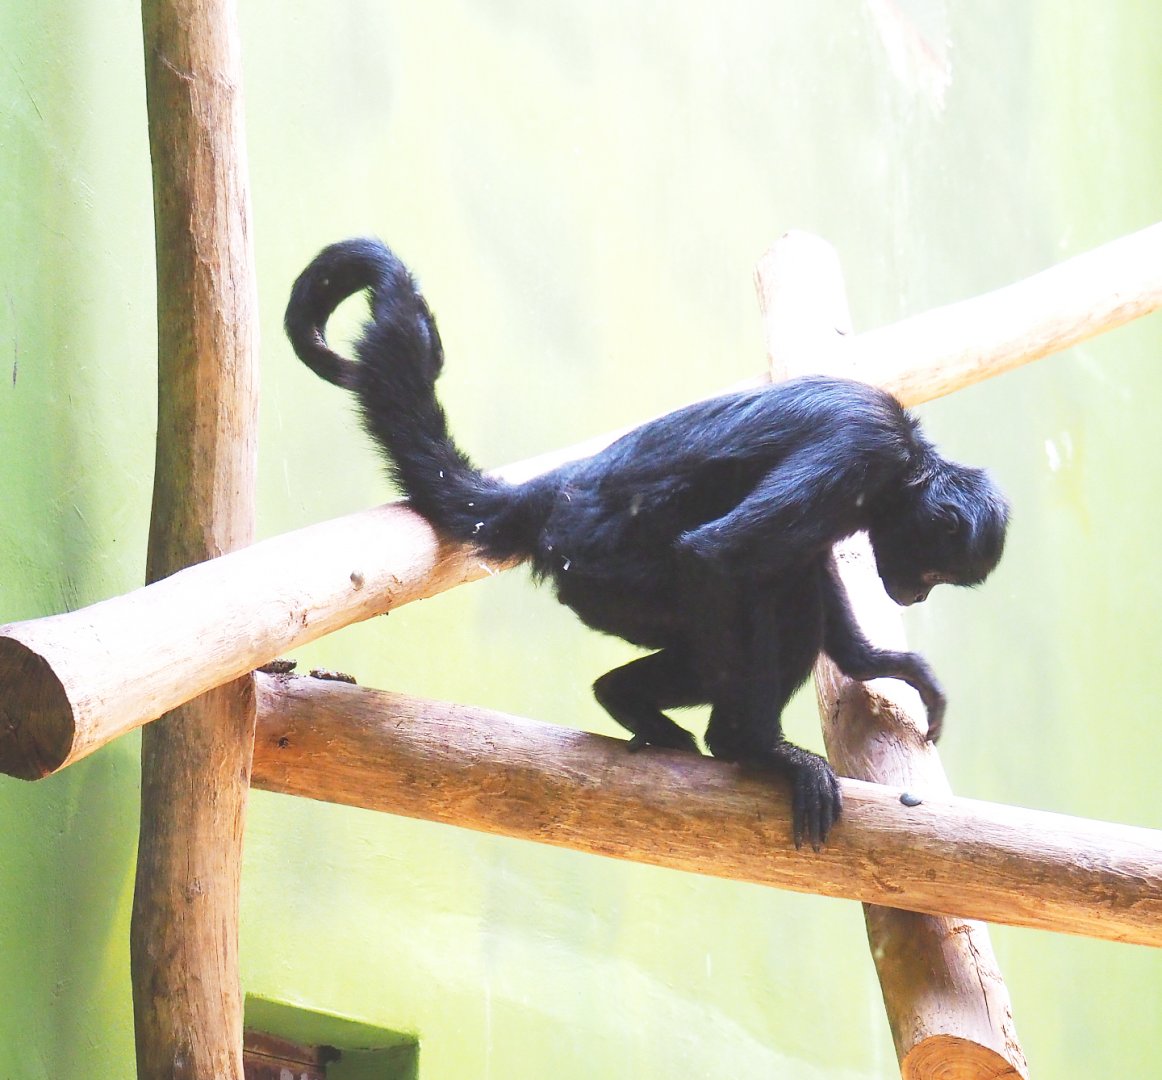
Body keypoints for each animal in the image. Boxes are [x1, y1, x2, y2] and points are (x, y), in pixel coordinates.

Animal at [284, 238, 1009, 849]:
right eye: (934, 572)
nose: (916, 594)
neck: (906, 458)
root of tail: (558, 496)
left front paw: (874, 661)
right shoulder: (862, 449)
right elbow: (723, 554)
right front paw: (755, 748)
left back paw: (622, 695)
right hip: (617, 579)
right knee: (779, 594)